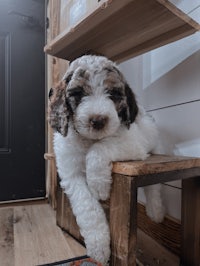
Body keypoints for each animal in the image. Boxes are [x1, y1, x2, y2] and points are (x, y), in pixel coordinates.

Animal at [48, 55, 164, 264]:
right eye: (78, 93)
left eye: (113, 93)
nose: (98, 120)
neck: (88, 140)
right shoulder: (70, 172)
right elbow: (87, 206)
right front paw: (98, 247)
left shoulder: (132, 142)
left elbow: (99, 148)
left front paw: (99, 186)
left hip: (155, 146)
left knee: (155, 186)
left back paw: (156, 211)